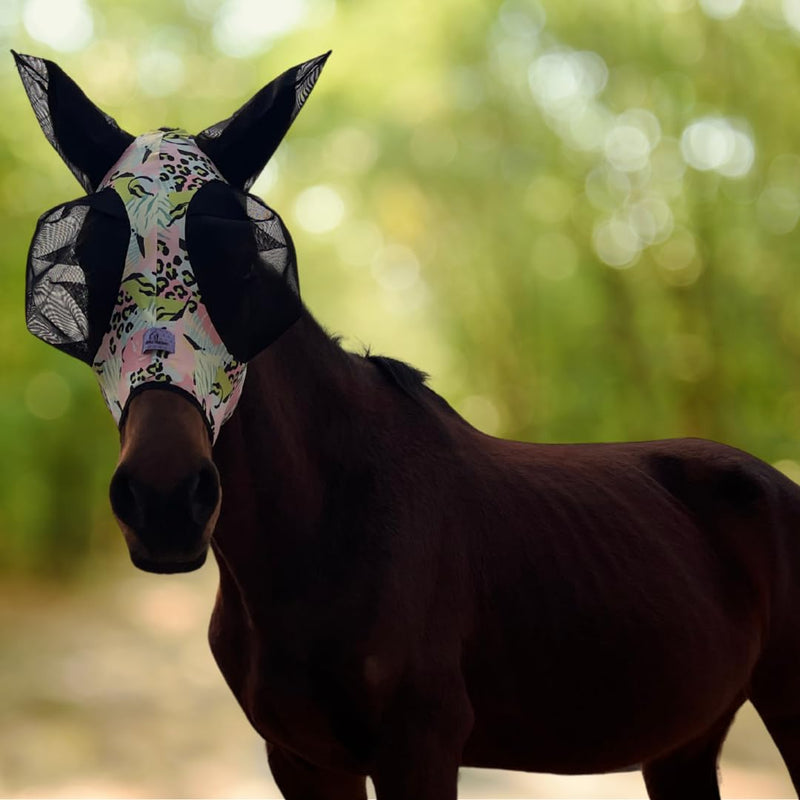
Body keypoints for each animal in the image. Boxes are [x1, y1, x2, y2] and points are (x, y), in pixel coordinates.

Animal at [14, 50, 800, 800]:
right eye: (85, 267)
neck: (325, 526)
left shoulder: (419, 749)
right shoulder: (303, 761)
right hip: (683, 742)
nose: (166, 501)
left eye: (241, 268)